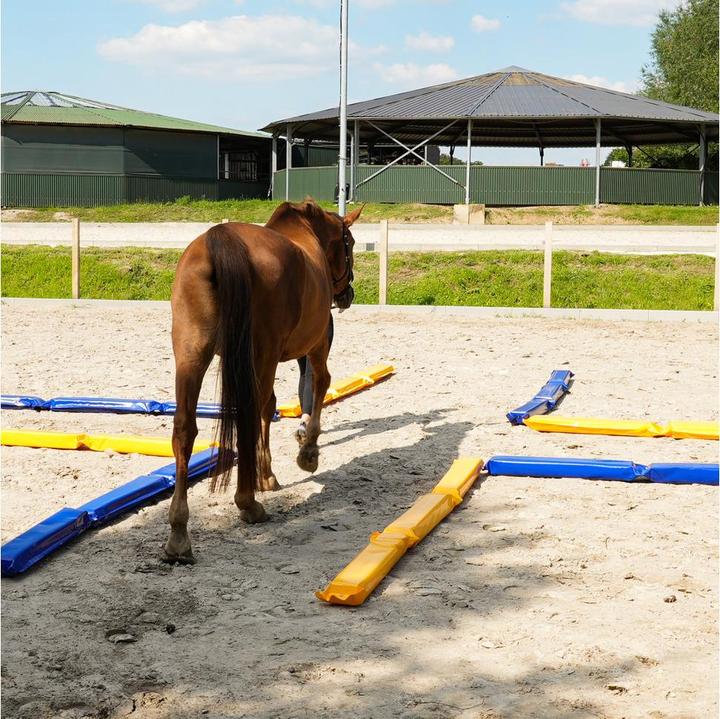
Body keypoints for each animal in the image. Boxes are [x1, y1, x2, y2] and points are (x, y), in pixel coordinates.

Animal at [163, 199, 362, 563]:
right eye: (350, 243)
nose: (347, 295)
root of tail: (219, 240)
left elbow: (270, 407)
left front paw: (268, 472)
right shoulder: (316, 344)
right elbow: (317, 385)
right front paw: (304, 455)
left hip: (191, 354)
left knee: (185, 429)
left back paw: (179, 535)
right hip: (261, 354)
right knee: (249, 415)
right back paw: (248, 504)